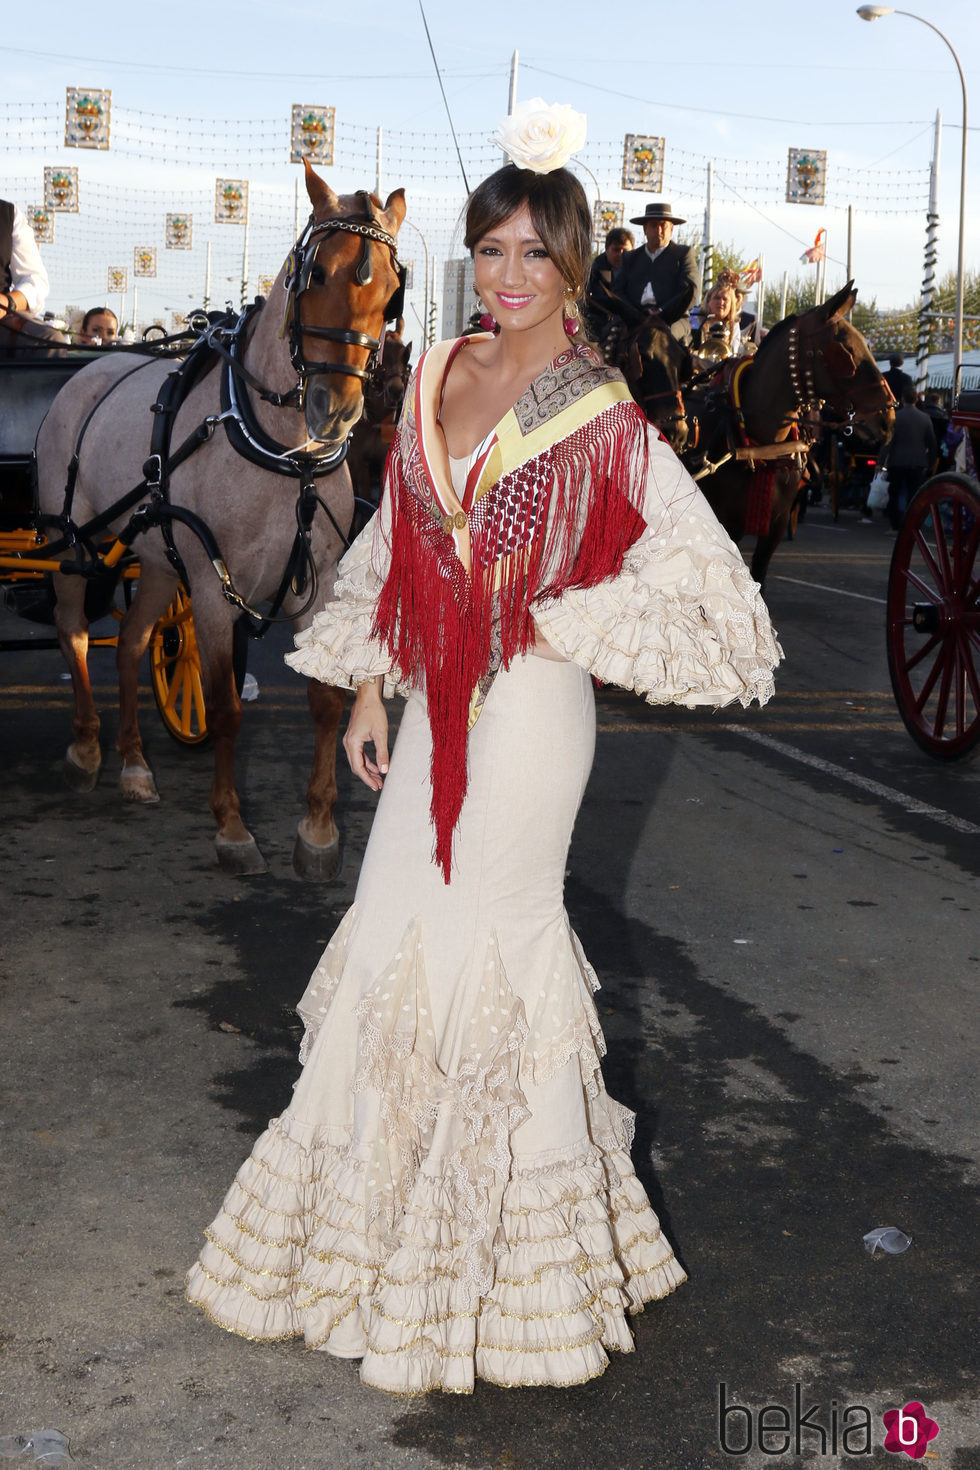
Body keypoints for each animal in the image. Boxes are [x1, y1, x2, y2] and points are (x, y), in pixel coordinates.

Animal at [37, 160, 405, 870]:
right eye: (316, 274)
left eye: (393, 291)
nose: (336, 409)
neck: (284, 454)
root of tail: (90, 368)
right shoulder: (211, 586)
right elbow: (226, 707)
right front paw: (232, 827)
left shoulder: (316, 583)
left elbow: (325, 700)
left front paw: (318, 828)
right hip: (74, 541)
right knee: (75, 634)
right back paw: (87, 747)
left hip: (155, 559)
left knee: (131, 643)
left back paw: (134, 764)